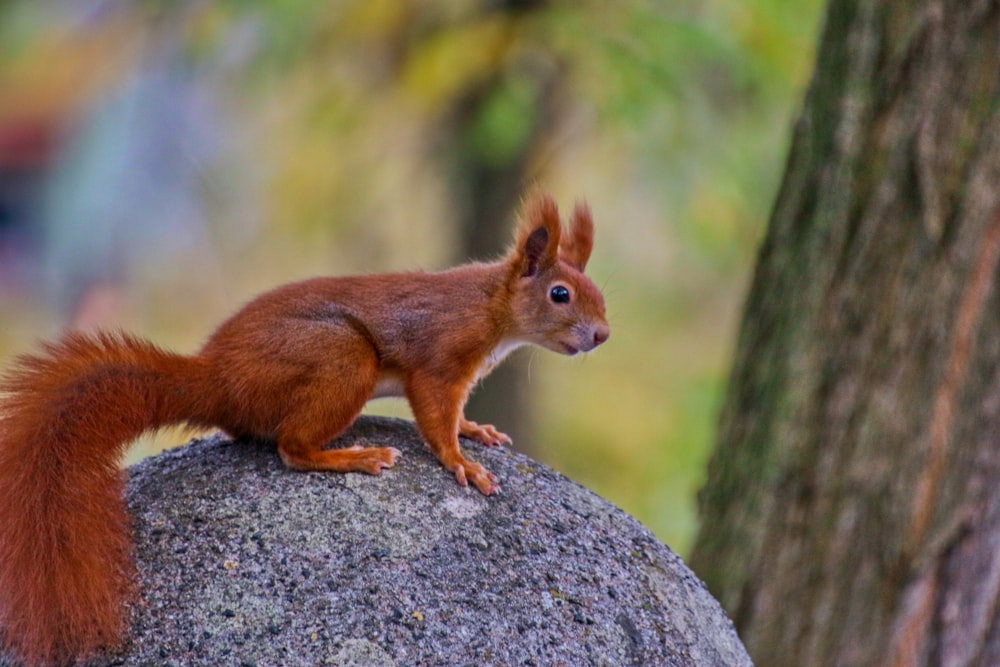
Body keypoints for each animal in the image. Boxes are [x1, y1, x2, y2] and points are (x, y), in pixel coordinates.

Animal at [0, 193, 608, 667]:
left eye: (596, 291)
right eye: (560, 294)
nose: (603, 335)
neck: (491, 308)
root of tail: (217, 378)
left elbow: (455, 416)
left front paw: (477, 429)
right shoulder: (439, 361)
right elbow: (436, 418)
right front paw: (462, 462)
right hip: (343, 359)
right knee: (291, 448)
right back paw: (352, 457)